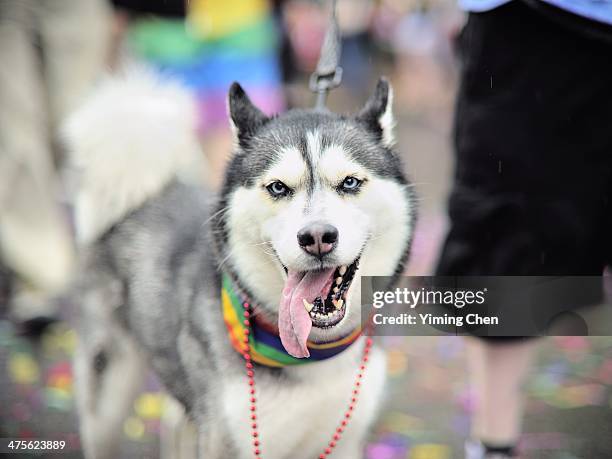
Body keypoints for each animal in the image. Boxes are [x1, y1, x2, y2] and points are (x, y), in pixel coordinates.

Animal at [68, 69, 416, 459]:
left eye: (350, 182)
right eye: (278, 188)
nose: (317, 237)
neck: (313, 354)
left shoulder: (346, 442)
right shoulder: (228, 439)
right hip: (107, 393)